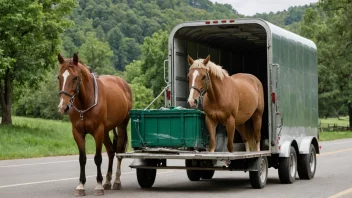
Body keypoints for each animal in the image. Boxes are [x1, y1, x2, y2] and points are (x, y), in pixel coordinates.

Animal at [57, 53, 133, 196]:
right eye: (59, 77)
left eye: (75, 77)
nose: (63, 107)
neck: (85, 102)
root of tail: (123, 83)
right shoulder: (78, 132)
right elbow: (82, 158)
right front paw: (81, 186)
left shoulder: (98, 131)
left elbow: (98, 158)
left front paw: (98, 186)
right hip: (106, 131)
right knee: (111, 151)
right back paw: (107, 181)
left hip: (121, 126)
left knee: (119, 151)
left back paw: (116, 181)